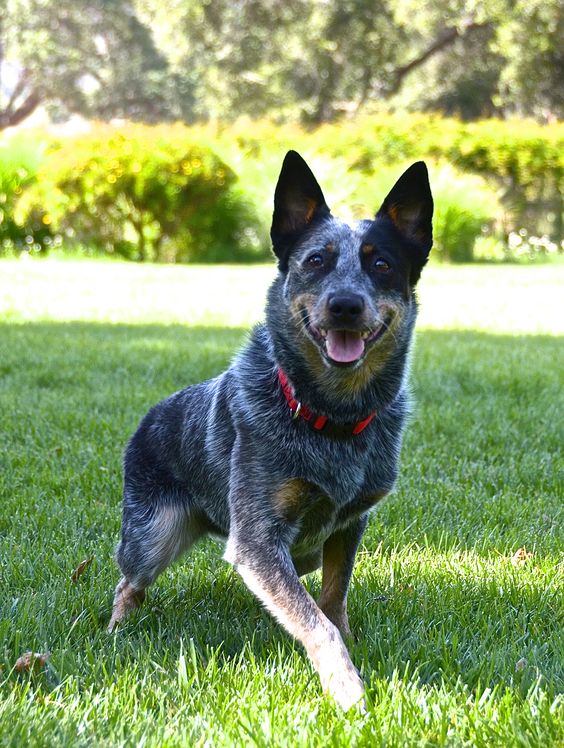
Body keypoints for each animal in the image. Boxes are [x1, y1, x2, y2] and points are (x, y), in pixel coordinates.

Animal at [108, 149, 432, 712]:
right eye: (316, 261)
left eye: (381, 264)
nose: (345, 304)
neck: (331, 418)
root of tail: (150, 416)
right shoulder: (257, 540)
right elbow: (317, 623)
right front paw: (348, 690)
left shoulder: (350, 523)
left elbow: (332, 600)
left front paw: (349, 648)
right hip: (152, 533)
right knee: (130, 583)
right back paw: (115, 633)